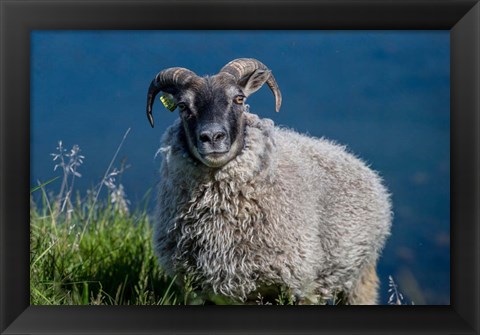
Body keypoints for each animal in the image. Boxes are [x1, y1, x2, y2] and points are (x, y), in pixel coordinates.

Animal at [144, 59, 392, 306]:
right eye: (182, 106)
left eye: (239, 99)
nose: (212, 137)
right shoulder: (199, 290)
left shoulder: (296, 285)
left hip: (359, 275)